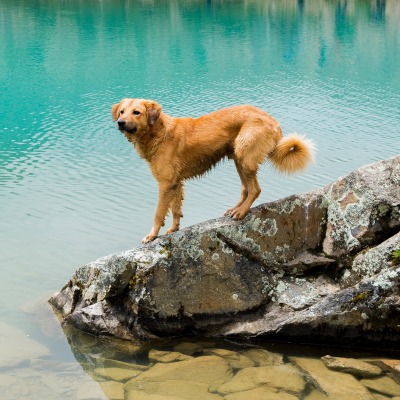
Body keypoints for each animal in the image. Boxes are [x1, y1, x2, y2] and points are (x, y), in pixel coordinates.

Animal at [111, 99, 314, 244]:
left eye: (136, 112)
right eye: (122, 111)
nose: (120, 122)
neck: (158, 133)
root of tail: (273, 121)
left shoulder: (165, 183)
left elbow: (159, 213)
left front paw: (151, 235)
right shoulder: (176, 183)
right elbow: (176, 210)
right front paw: (174, 229)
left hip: (244, 154)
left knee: (255, 189)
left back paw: (241, 212)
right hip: (237, 157)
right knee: (246, 188)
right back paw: (235, 208)